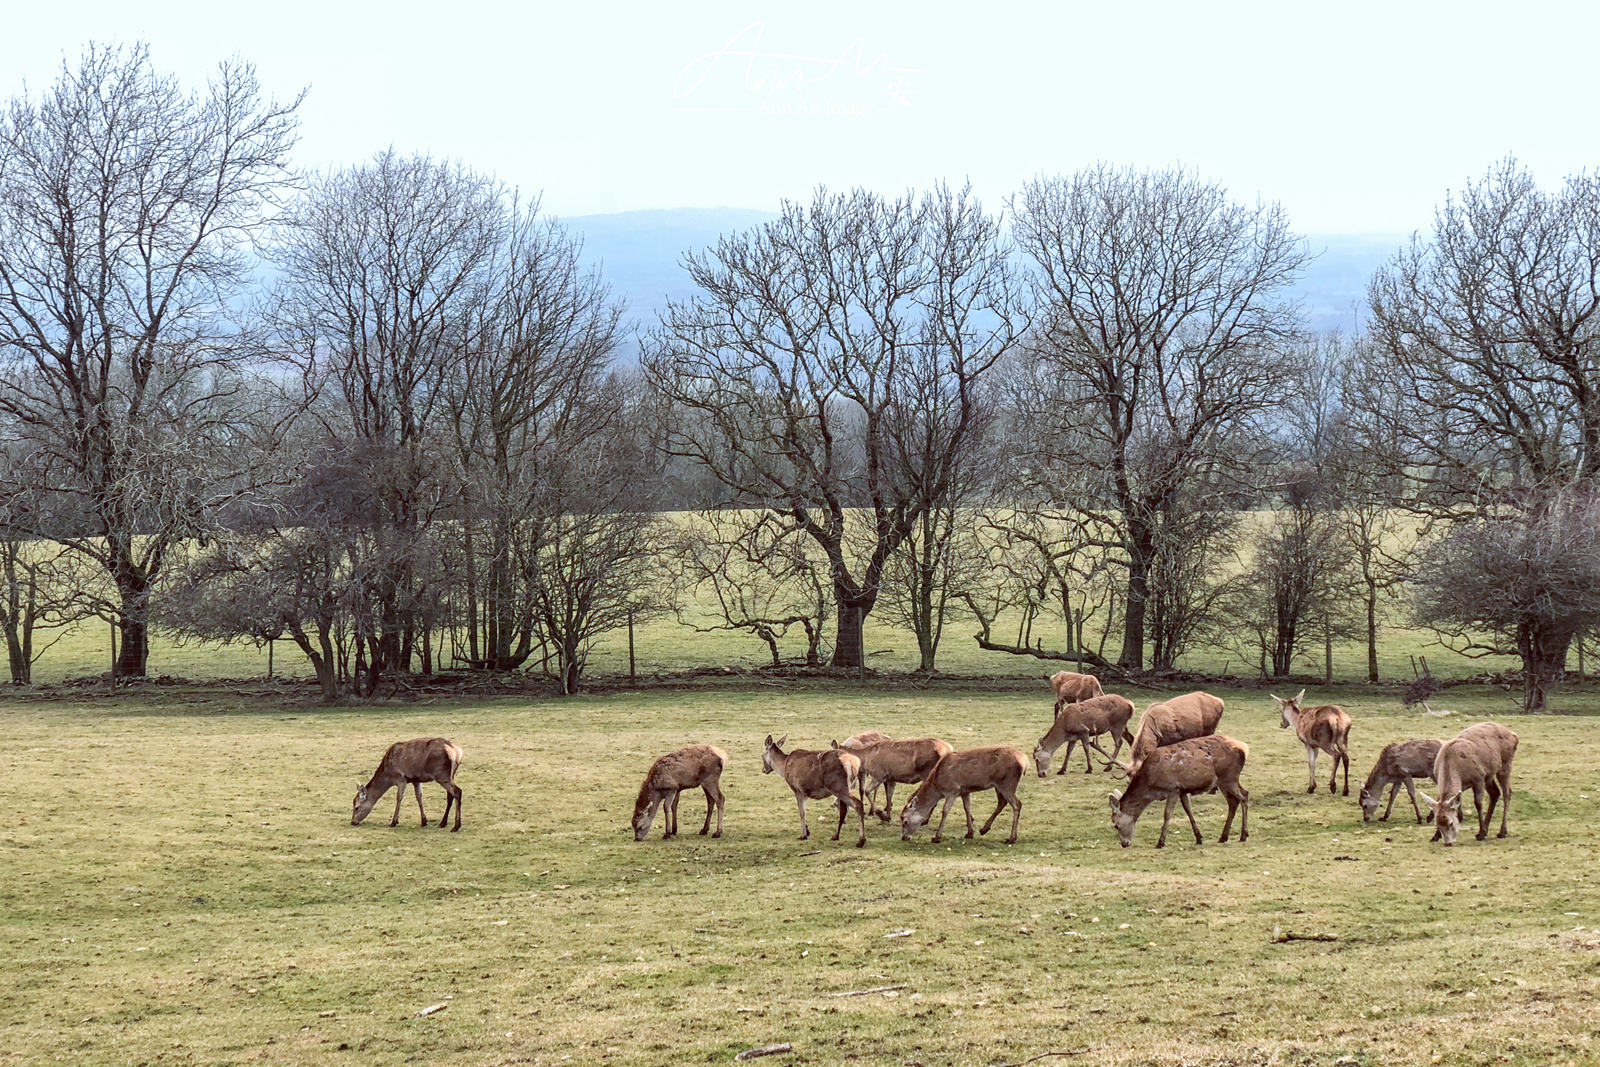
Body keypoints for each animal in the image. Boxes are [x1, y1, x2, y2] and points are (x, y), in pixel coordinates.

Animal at [1113, 735, 1248, 851]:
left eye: (1115, 825)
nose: (1124, 844)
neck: (1150, 785)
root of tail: (1244, 748)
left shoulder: (1172, 789)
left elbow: (1167, 814)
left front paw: (1161, 842)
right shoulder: (1182, 790)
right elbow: (1188, 810)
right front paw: (1199, 838)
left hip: (1228, 777)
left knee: (1244, 796)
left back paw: (1243, 835)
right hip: (1225, 781)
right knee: (1234, 801)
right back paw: (1223, 837)